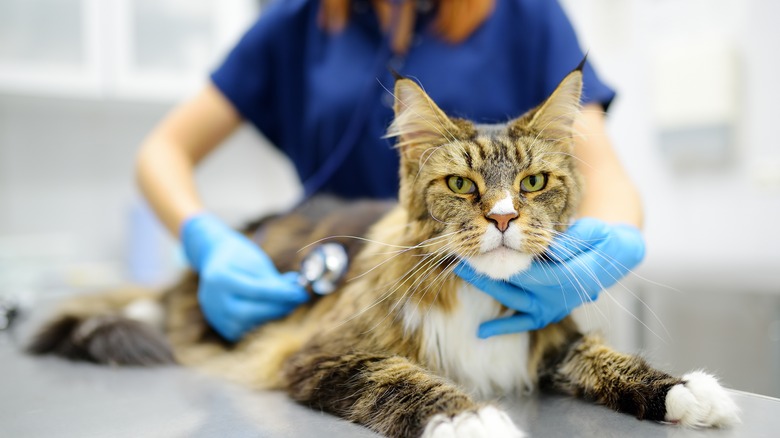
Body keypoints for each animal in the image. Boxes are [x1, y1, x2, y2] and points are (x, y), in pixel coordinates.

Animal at [27, 66, 740, 438]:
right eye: (462, 185)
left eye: (534, 183)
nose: (504, 216)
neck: (478, 297)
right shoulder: (323, 353)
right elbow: (407, 382)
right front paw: (475, 419)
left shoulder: (552, 340)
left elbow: (608, 359)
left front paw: (688, 392)